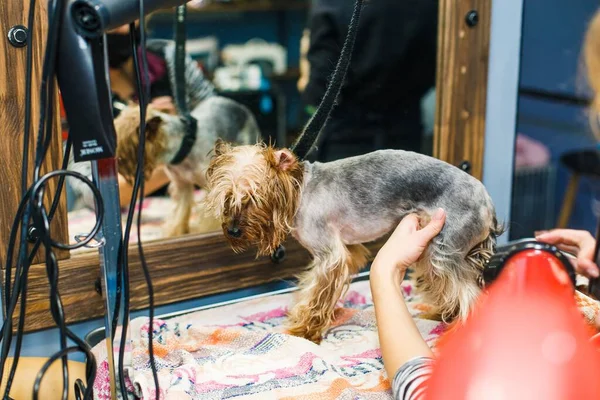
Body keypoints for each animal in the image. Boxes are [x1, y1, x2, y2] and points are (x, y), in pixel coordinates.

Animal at [115, 96, 260, 238]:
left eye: (121, 144)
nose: (114, 159)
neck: (183, 148)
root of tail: (239, 105)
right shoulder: (181, 185)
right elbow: (180, 211)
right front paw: (176, 232)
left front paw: (208, 230)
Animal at [205, 142, 502, 342]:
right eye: (227, 198)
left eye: (254, 199)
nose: (233, 231)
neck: (300, 190)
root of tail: (488, 203)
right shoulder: (349, 249)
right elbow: (316, 288)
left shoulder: (330, 254)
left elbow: (318, 291)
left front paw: (305, 330)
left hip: (445, 246)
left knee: (467, 293)